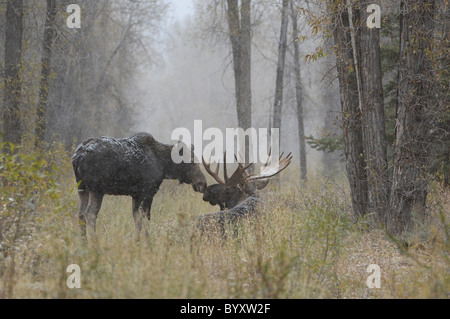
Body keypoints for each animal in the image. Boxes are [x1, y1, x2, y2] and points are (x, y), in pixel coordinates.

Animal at [72, 131, 207, 239]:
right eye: (190, 161)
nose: (202, 183)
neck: (164, 166)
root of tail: (77, 158)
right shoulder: (148, 192)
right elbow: (145, 219)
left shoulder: (136, 195)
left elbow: (137, 220)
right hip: (97, 189)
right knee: (90, 214)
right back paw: (95, 244)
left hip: (82, 188)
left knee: (80, 214)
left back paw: (84, 243)